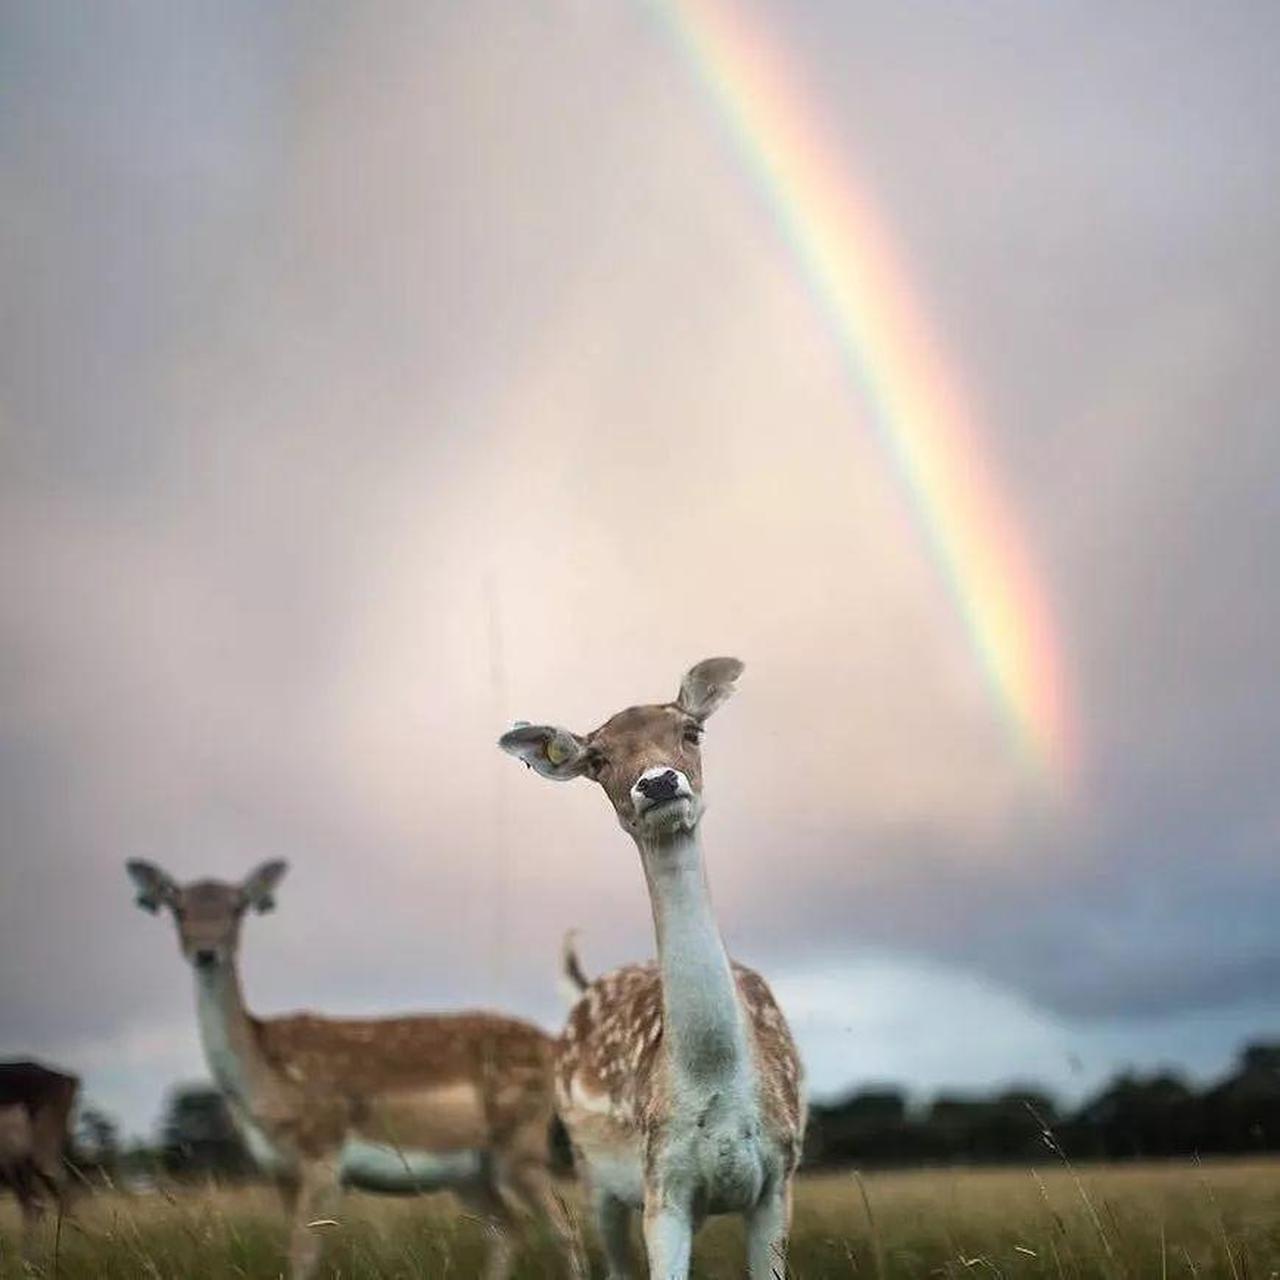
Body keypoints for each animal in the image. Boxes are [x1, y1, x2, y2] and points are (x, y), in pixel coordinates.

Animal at [124, 860, 586, 1280]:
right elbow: (295, 1248)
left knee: (564, 1227)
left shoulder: (324, 1153)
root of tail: (553, 1044)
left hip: (521, 1141)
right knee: (507, 1228)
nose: (206, 952)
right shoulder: (278, 1170)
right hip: (468, 1170)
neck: (264, 1085)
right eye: (177, 907)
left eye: (238, 906)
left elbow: (305, 1253)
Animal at [496, 660, 798, 1280]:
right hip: (592, 1176)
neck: (718, 1083)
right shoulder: (663, 1182)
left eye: (691, 730)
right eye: (597, 759)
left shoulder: (779, 1176)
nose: (658, 783)